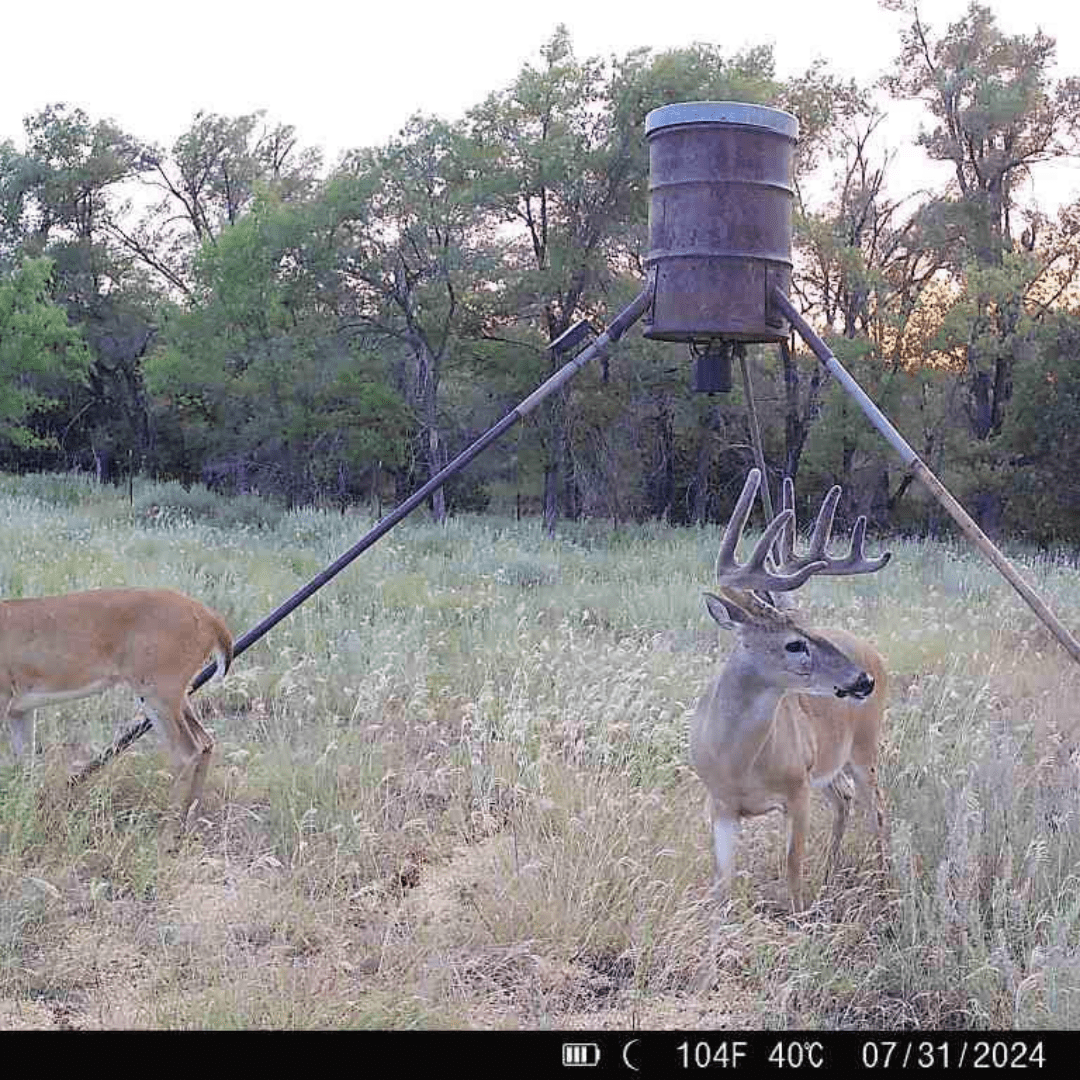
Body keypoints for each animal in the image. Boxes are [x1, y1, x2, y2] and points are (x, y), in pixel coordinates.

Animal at [691, 473, 894, 911]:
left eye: (810, 627)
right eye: (794, 644)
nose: (863, 680)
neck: (738, 763)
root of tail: (872, 652)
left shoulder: (797, 790)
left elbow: (793, 874)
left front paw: (802, 919)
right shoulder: (719, 804)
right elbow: (721, 885)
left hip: (864, 747)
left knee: (877, 811)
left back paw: (888, 890)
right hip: (828, 764)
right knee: (844, 800)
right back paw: (830, 876)